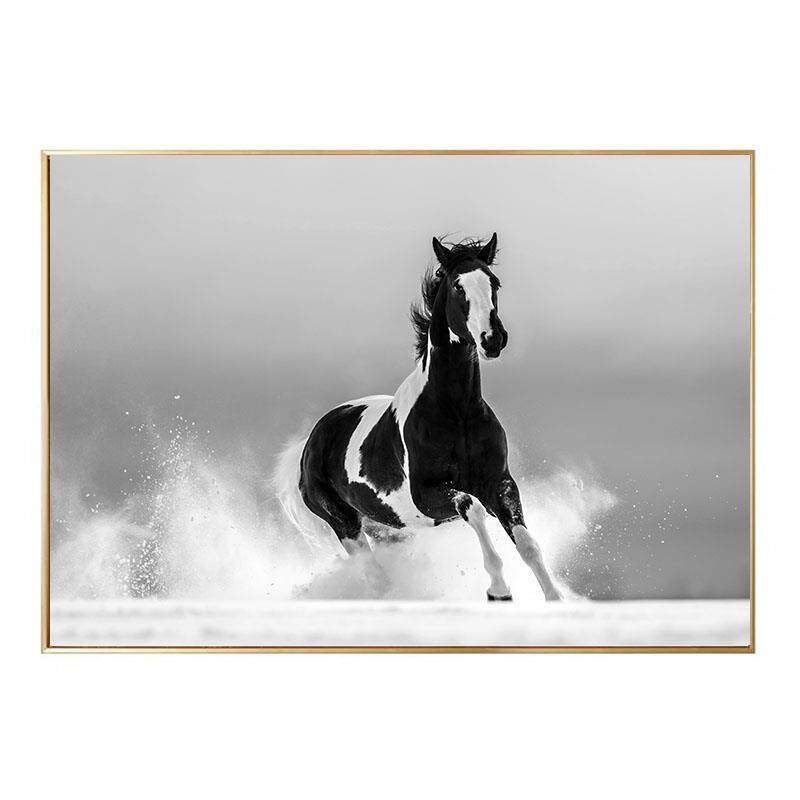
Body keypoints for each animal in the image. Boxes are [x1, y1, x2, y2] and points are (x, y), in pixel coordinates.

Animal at [275, 233, 563, 601]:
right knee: (376, 577)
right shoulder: (428, 496)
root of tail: (309, 443)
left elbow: (528, 545)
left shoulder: (499, 483)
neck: (457, 412)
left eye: (494, 282)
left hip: (389, 527)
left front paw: (555, 598)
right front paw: (499, 590)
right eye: (457, 286)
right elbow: (473, 508)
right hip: (345, 524)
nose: (492, 339)